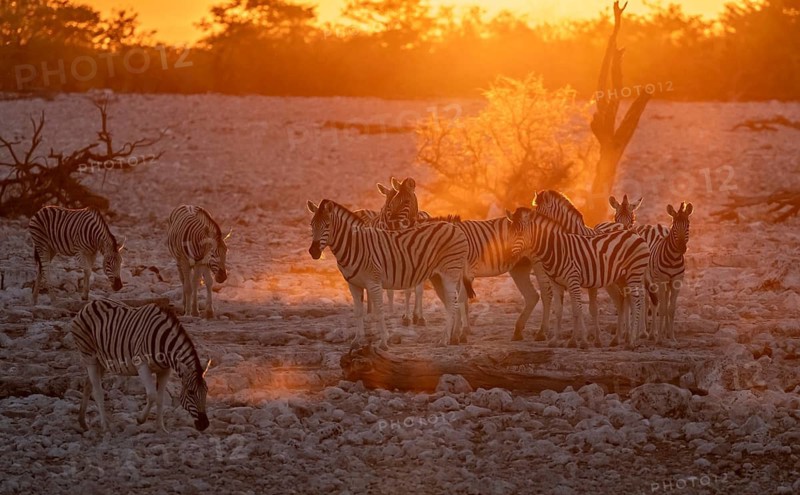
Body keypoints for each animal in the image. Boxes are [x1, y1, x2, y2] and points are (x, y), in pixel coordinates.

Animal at [71, 298, 210, 432]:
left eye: (206, 391)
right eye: (191, 392)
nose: (204, 425)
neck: (163, 344)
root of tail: (88, 305)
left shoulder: (165, 370)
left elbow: (160, 398)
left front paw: (161, 428)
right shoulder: (141, 364)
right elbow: (152, 395)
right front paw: (141, 419)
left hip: (102, 361)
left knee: (88, 385)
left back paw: (82, 422)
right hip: (90, 356)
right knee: (97, 391)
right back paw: (104, 426)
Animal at [307, 199, 473, 347]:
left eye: (327, 225)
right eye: (311, 225)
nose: (313, 252)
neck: (354, 245)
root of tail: (455, 227)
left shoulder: (373, 282)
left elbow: (380, 311)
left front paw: (383, 342)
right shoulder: (353, 284)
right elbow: (358, 312)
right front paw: (357, 341)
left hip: (449, 274)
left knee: (452, 304)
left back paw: (444, 340)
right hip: (437, 277)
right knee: (453, 304)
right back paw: (454, 337)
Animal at [505, 205, 649, 349]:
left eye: (520, 233)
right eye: (510, 233)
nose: (509, 255)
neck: (556, 249)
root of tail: (634, 233)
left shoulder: (573, 281)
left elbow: (577, 310)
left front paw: (581, 341)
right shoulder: (556, 283)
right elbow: (559, 311)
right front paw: (555, 340)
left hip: (634, 274)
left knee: (637, 302)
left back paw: (632, 341)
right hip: (622, 278)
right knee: (625, 301)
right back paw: (624, 338)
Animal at [648, 202, 693, 343]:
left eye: (688, 225)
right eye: (674, 226)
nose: (681, 248)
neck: (673, 258)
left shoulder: (676, 282)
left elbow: (671, 309)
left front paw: (672, 337)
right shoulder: (662, 281)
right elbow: (662, 308)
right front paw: (659, 339)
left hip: (667, 285)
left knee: (664, 302)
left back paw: (665, 333)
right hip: (651, 282)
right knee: (653, 304)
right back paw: (652, 334)